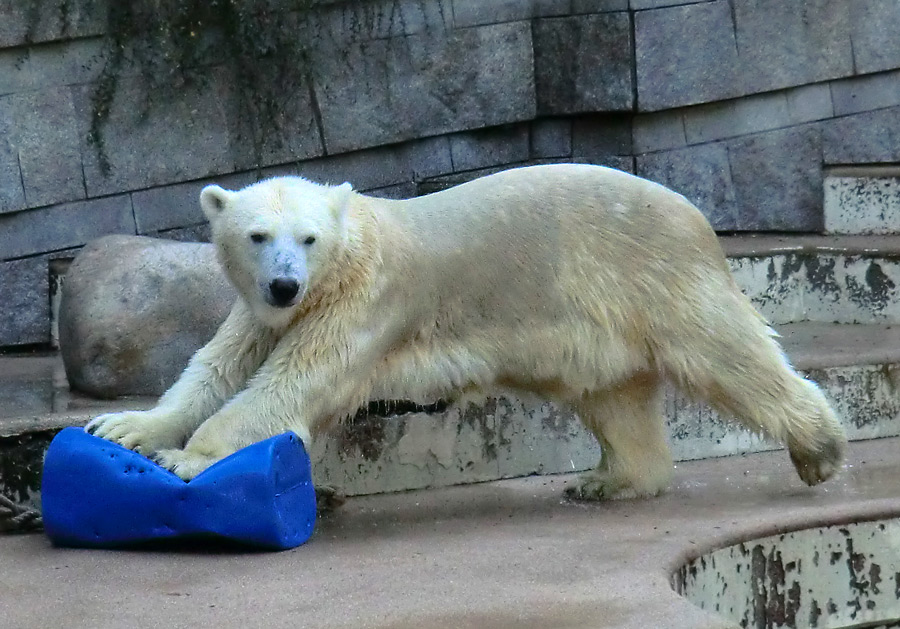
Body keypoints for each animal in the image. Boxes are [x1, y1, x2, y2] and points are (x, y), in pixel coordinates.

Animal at [88, 164, 848, 498]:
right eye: (256, 235)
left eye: (307, 238)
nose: (283, 284)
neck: (354, 245)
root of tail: (696, 216)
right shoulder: (260, 317)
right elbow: (213, 369)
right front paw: (124, 428)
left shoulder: (364, 302)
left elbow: (289, 385)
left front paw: (185, 460)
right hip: (597, 327)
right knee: (615, 401)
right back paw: (609, 480)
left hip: (654, 276)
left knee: (729, 354)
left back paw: (819, 448)